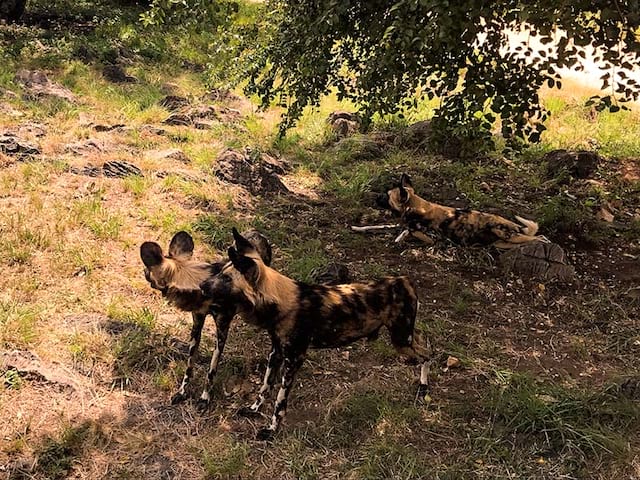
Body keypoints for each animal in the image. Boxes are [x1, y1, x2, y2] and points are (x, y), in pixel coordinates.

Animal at [139, 229, 272, 408]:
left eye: (148, 271)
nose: (143, 271)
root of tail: (256, 232)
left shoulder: (222, 331)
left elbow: (211, 370)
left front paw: (204, 398)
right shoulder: (197, 324)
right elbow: (189, 365)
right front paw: (182, 392)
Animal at [200, 227, 430, 440]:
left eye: (226, 279)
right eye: (221, 273)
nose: (202, 285)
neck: (279, 299)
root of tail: (404, 280)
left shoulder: (294, 359)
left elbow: (280, 402)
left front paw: (271, 430)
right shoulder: (276, 352)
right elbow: (265, 387)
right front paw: (254, 409)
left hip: (401, 340)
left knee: (427, 355)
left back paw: (424, 387)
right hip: (405, 338)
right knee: (426, 343)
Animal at [372, 172, 548, 248]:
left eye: (386, 195)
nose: (375, 197)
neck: (415, 207)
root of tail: (515, 226)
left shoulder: (434, 238)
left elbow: (413, 231)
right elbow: (406, 231)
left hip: (505, 233)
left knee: (540, 238)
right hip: (501, 243)